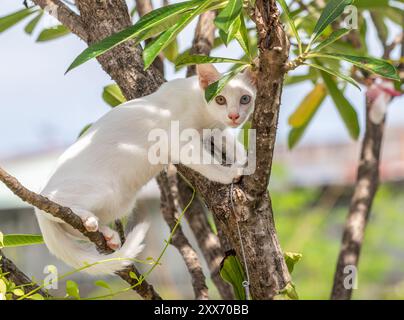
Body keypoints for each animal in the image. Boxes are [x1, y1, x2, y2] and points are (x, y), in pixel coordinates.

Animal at [34, 63, 256, 274]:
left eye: (245, 99)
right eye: (220, 99)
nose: (234, 116)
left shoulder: (216, 131)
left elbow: (232, 144)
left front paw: (244, 160)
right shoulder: (178, 141)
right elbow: (207, 163)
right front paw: (230, 173)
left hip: (120, 202)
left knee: (68, 225)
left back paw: (106, 233)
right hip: (100, 190)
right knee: (54, 206)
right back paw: (86, 218)